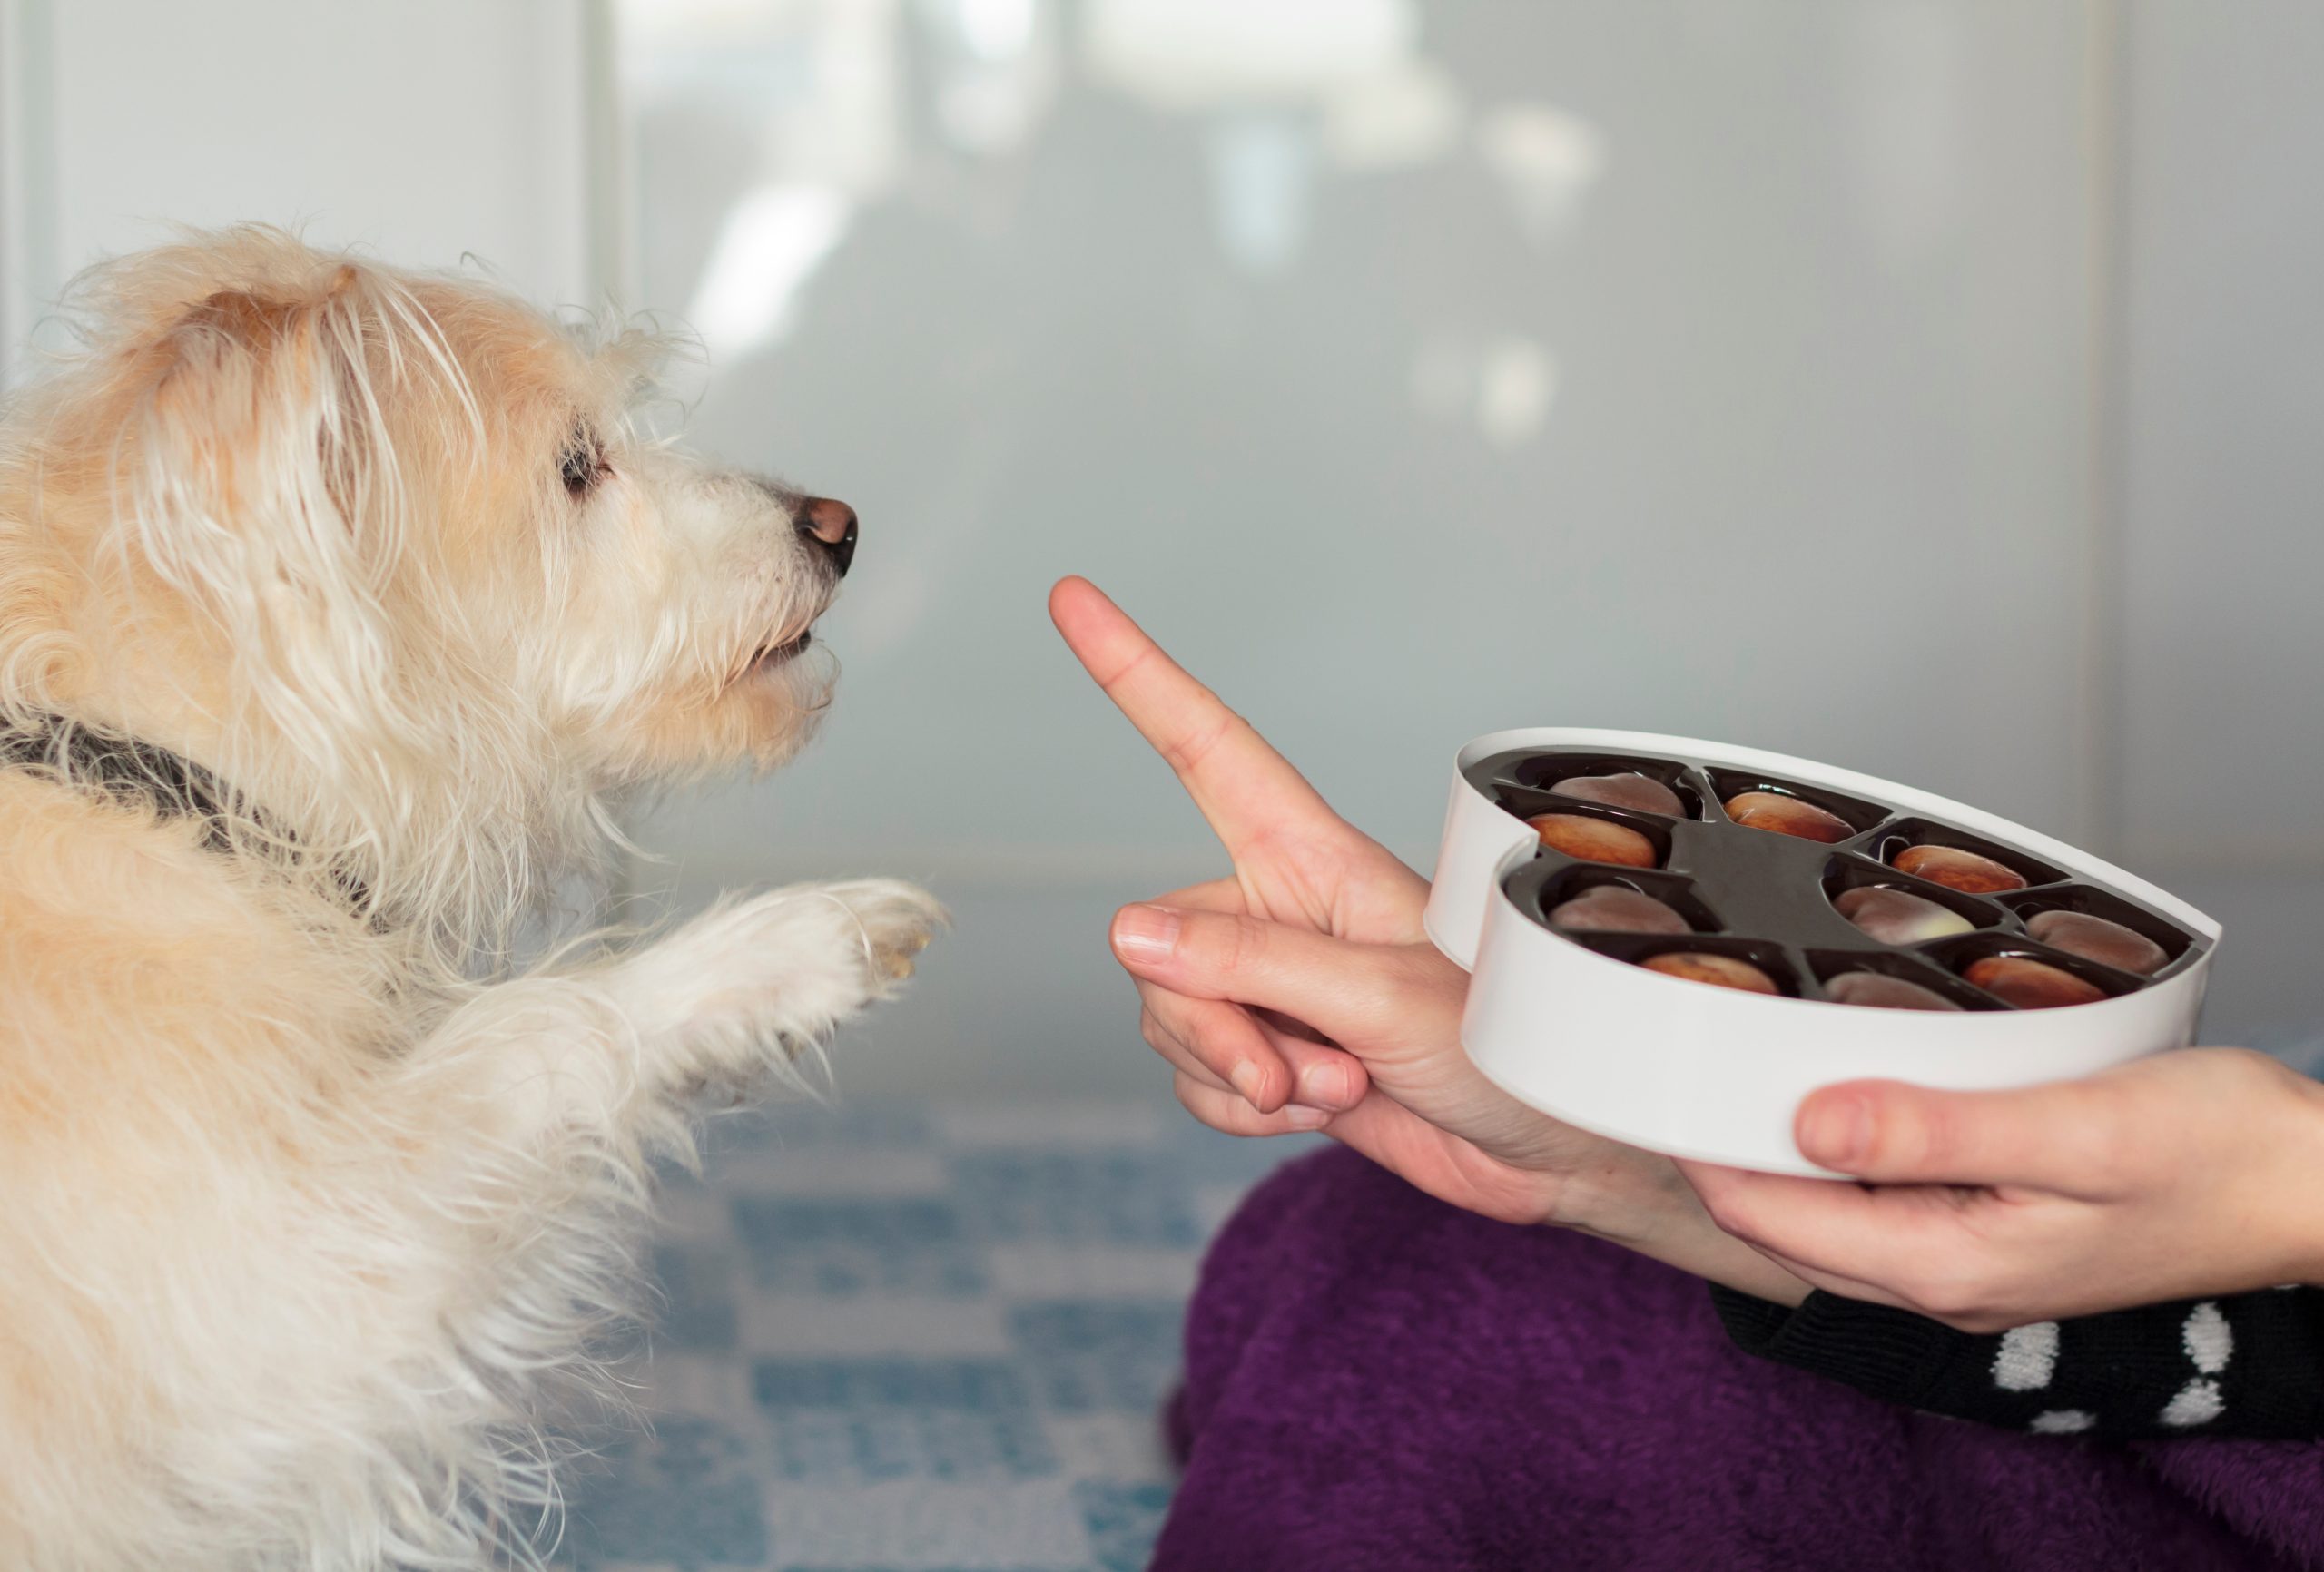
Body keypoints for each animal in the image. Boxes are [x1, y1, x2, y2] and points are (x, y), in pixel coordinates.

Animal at [2, 226, 943, 1560]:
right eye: (577, 468)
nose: (839, 524)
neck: (157, 778)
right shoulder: (290, 1287)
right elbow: (535, 1028)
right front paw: (788, 949)